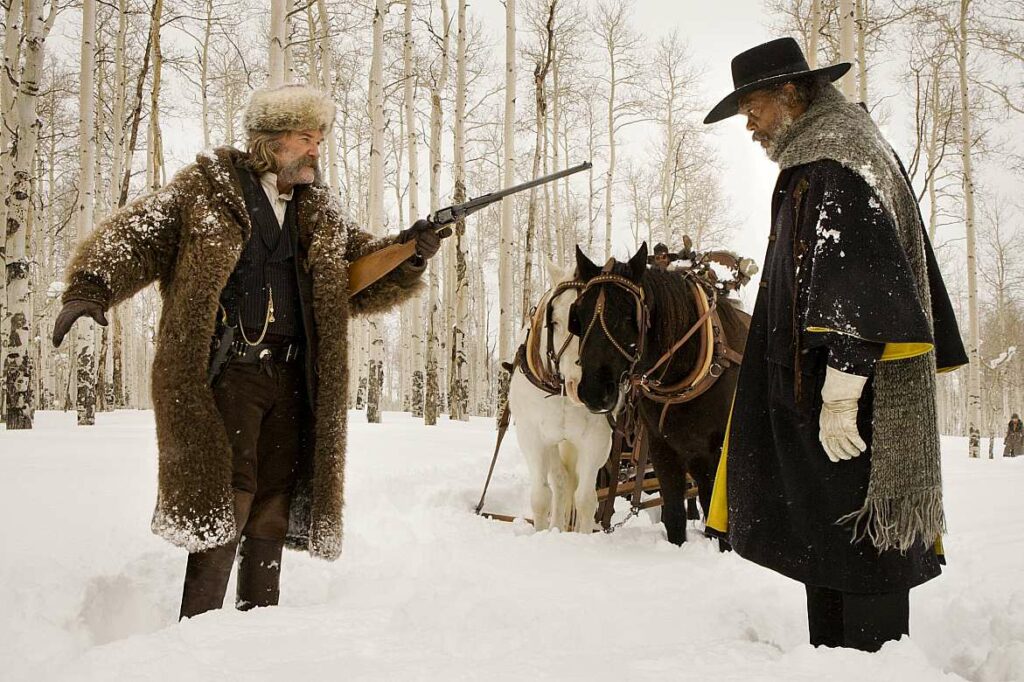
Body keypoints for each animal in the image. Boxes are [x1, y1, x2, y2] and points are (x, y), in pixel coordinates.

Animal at [508, 260, 613, 534]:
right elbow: (541, 496)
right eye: (553, 321)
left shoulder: (597, 440)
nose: (583, 386)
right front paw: (543, 533)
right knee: (561, 482)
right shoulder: (532, 436)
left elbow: (586, 499)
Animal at [568, 243, 749, 545]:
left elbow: (720, 525)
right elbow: (674, 517)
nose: (593, 392)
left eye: (628, 315)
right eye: (578, 317)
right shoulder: (663, 448)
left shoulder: (720, 455)